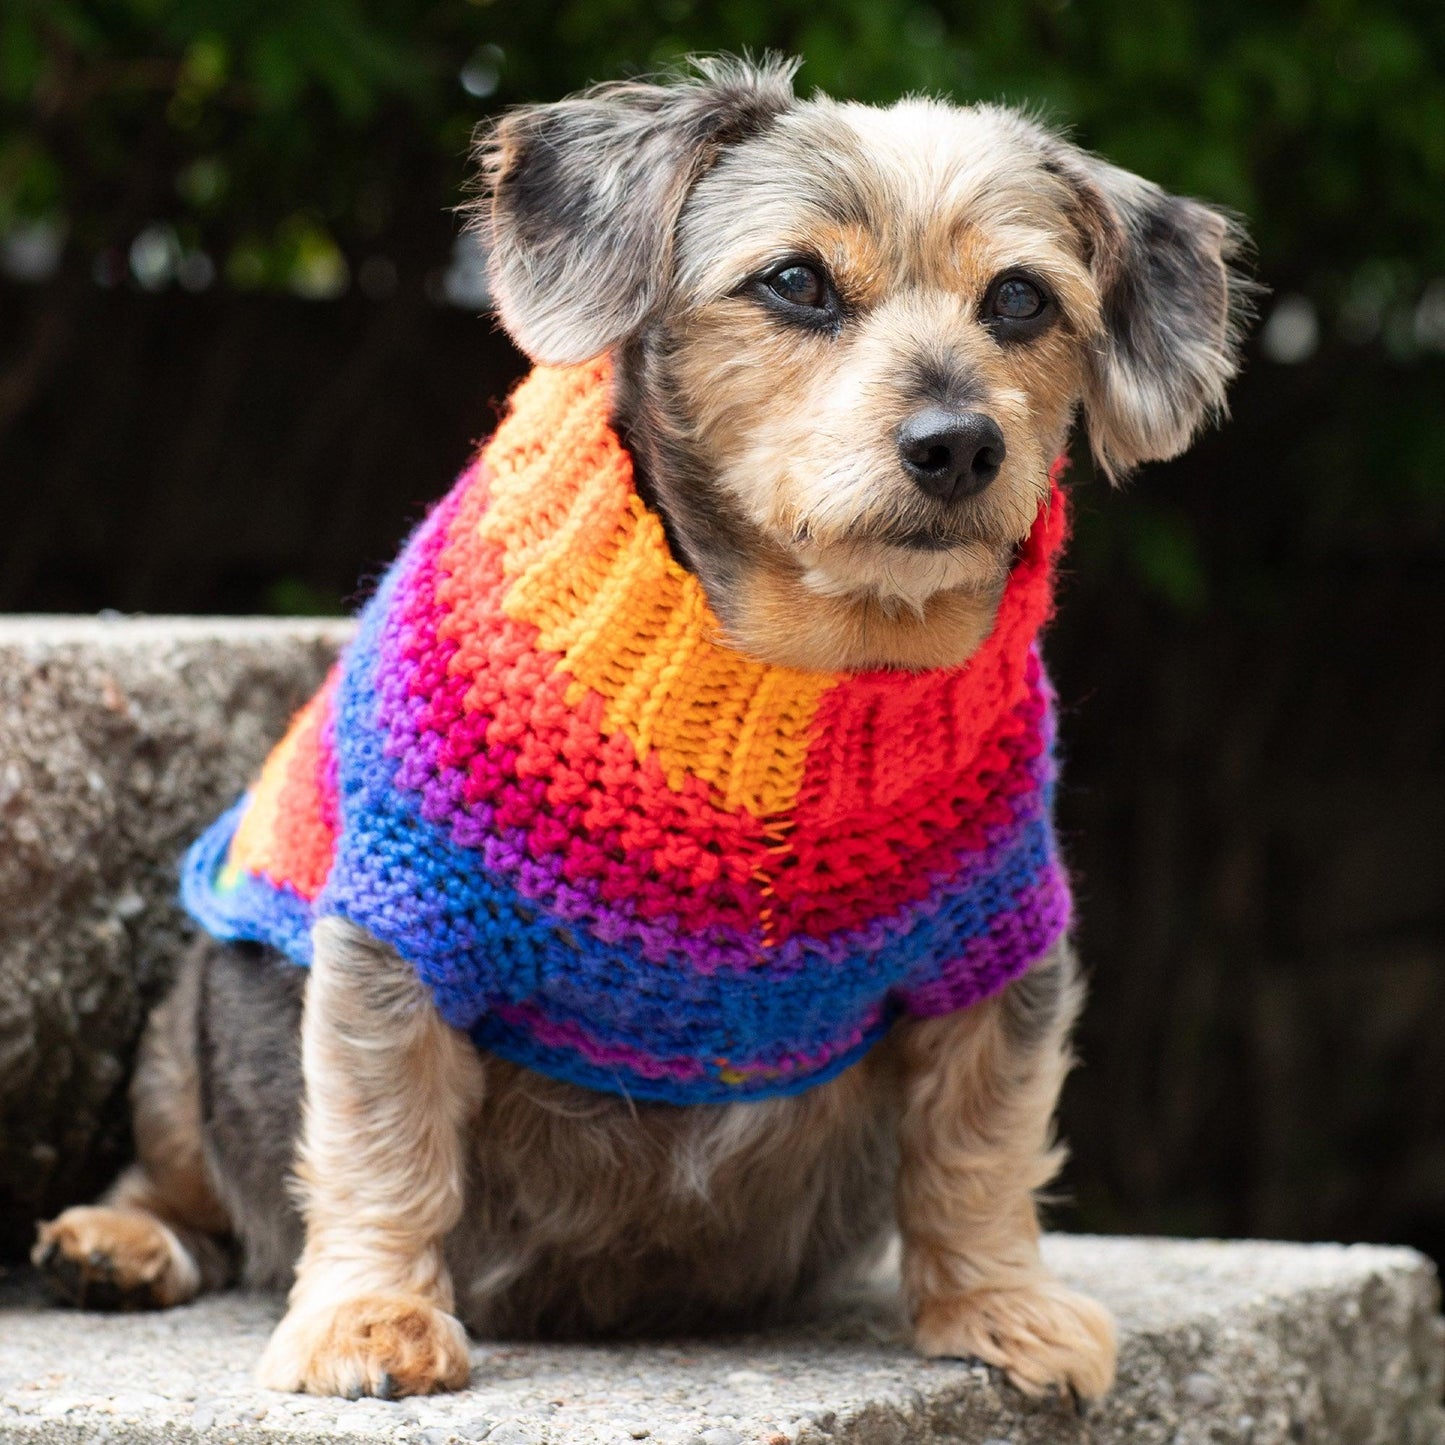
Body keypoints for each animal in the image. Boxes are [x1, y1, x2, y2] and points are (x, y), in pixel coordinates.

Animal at [31, 56, 1242, 1398]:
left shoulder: (990, 941)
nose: (958, 444)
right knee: (183, 1180)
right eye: (795, 281)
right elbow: (382, 1133)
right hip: (187, 1030)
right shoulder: (407, 920)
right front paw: (371, 1315)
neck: (794, 664)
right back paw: (119, 1240)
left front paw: (997, 1305)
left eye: (1020, 298)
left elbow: (979, 1141)